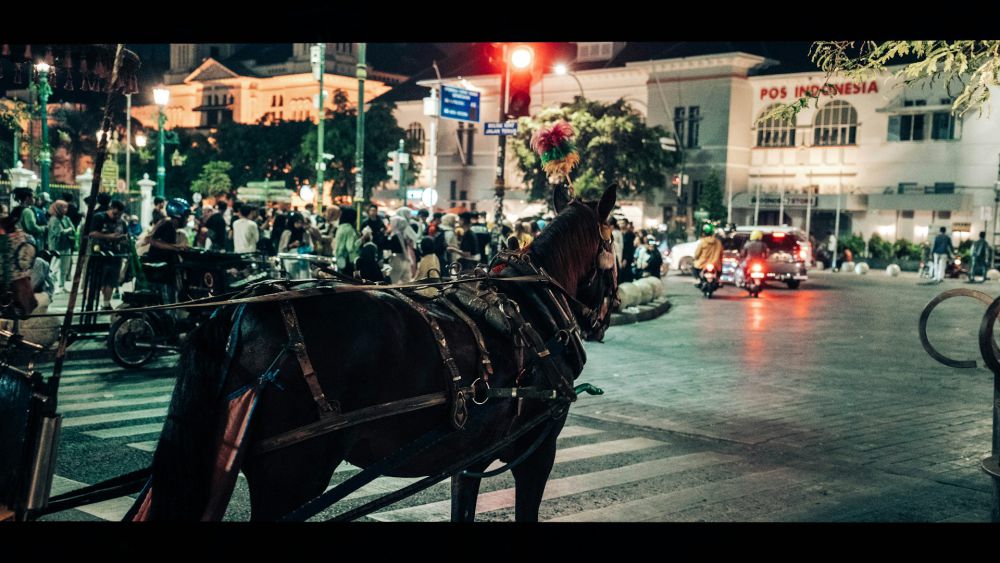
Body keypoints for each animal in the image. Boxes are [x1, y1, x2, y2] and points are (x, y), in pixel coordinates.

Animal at [133, 185, 616, 524]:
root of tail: (238, 311)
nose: (602, 319)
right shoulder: (539, 450)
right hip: (293, 476)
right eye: (615, 243)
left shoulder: (470, 456)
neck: (534, 304)